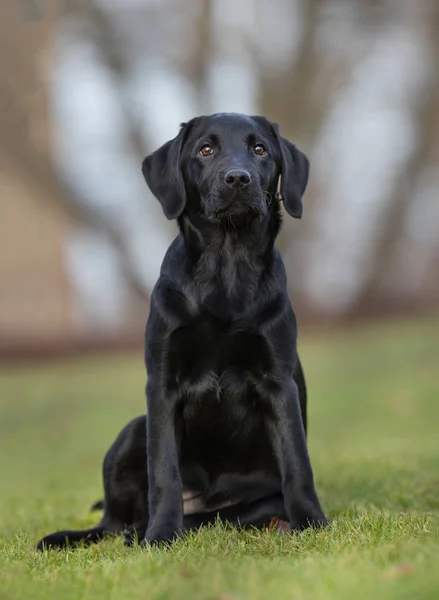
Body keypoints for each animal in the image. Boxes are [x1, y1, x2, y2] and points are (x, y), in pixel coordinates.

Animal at [37, 112, 326, 548]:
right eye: (205, 150)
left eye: (260, 149)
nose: (238, 178)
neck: (227, 268)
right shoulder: (161, 385)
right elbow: (164, 473)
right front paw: (160, 535)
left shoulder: (279, 382)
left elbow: (298, 464)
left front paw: (313, 523)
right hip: (132, 430)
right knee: (110, 524)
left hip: (252, 502)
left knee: (223, 516)